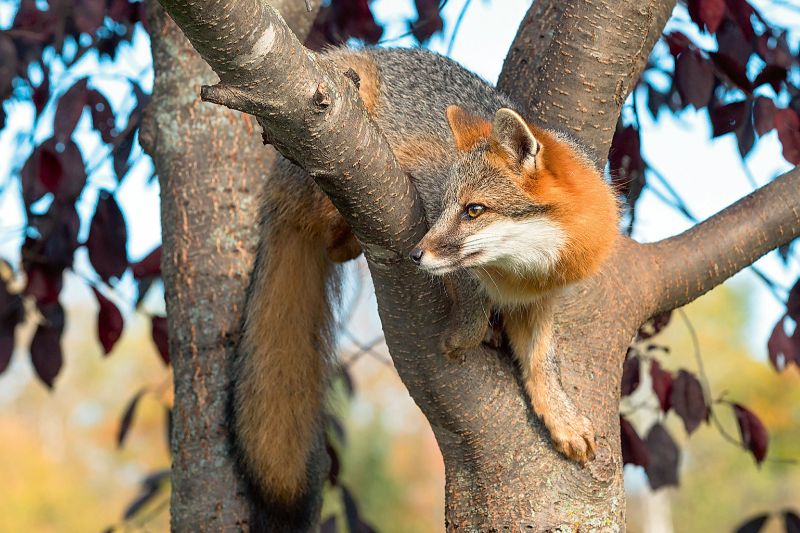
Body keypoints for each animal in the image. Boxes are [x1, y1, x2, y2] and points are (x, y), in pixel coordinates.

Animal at [231, 47, 620, 528]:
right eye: (448, 206)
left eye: (475, 210)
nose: (415, 254)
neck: (523, 273)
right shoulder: (424, 190)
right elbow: (470, 294)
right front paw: (465, 333)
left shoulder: (540, 299)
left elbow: (542, 361)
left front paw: (562, 417)